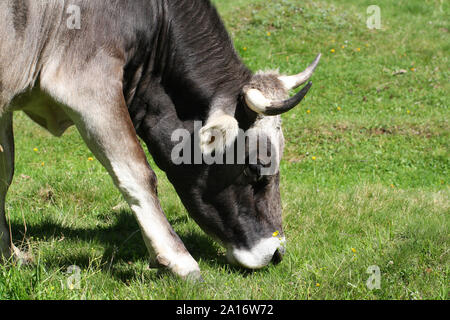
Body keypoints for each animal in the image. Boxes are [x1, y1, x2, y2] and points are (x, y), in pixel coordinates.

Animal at [1, 0, 322, 280]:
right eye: (255, 168)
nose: (276, 253)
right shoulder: (84, 82)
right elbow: (138, 173)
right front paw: (179, 260)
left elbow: (5, 174)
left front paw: (8, 255)